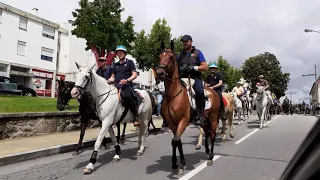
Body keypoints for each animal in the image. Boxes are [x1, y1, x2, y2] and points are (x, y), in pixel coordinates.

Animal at [156, 40, 221, 175]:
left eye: (171, 57)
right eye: (160, 56)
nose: (159, 73)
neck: (173, 95)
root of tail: (213, 92)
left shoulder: (183, 121)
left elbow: (175, 141)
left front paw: (179, 165)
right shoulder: (172, 124)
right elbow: (177, 142)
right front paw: (177, 164)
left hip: (213, 118)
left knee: (212, 134)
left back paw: (211, 157)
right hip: (203, 120)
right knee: (206, 132)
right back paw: (206, 150)